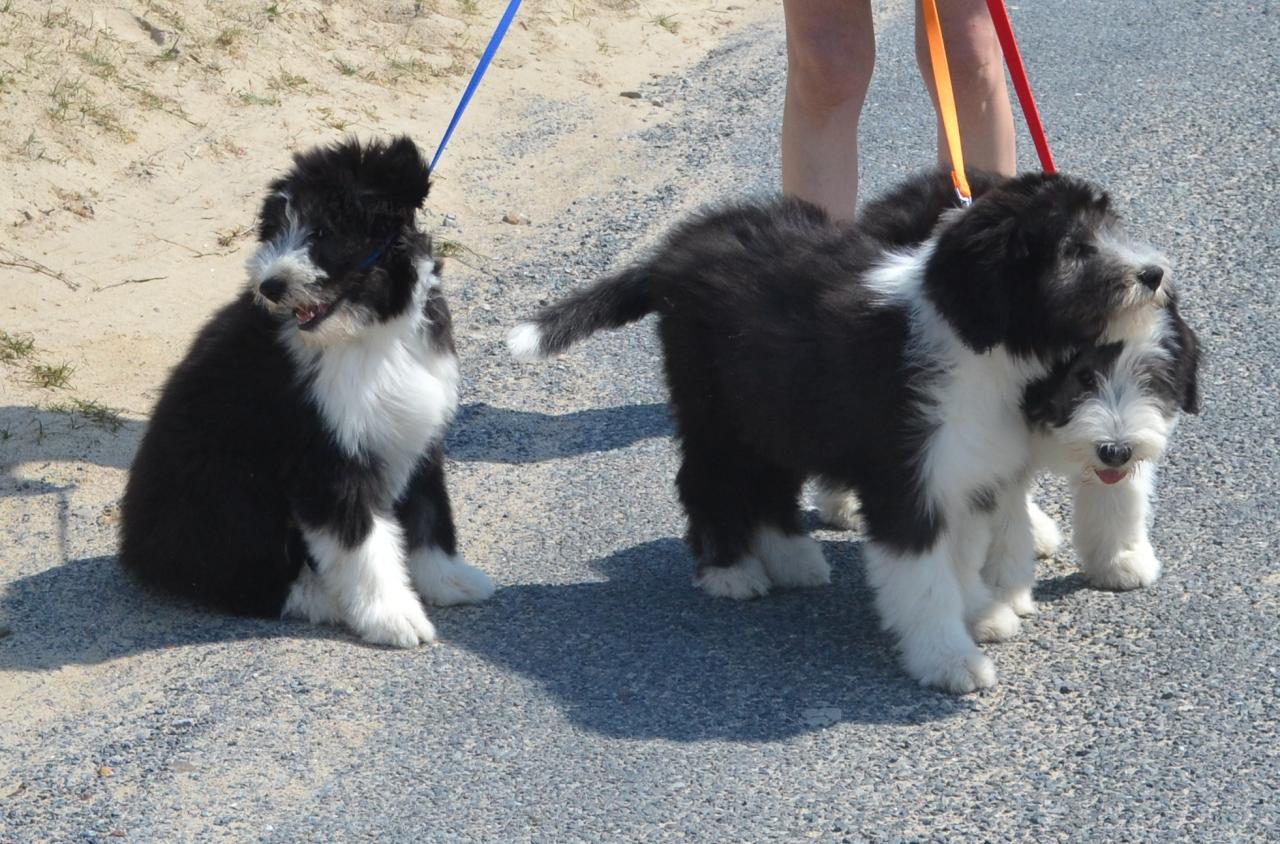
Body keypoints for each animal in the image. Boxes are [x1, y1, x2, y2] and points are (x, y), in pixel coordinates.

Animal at [120, 137, 491, 648]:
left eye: (322, 232)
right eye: (277, 231)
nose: (270, 285)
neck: (367, 334)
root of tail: (135, 547)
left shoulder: (416, 432)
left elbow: (430, 514)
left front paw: (450, 580)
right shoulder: (327, 457)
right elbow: (363, 543)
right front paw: (393, 617)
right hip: (228, 493)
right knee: (245, 581)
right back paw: (325, 598)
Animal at [506, 172, 1172, 691]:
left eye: (1107, 229)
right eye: (1074, 249)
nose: (1154, 273)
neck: (973, 342)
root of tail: (675, 253)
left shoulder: (966, 471)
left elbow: (959, 560)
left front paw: (980, 612)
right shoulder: (906, 476)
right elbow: (925, 579)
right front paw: (948, 660)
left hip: (772, 406)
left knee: (769, 483)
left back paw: (792, 556)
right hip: (716, 408)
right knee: (704, 480)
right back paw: (730, 570)